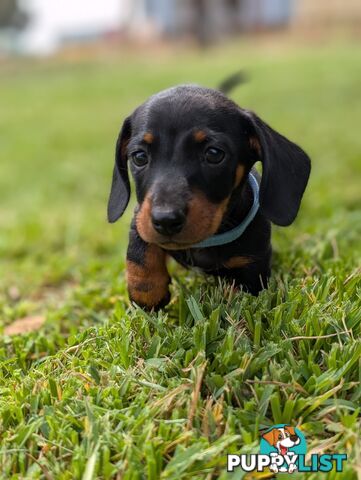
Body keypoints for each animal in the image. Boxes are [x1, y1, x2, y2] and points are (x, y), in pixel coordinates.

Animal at [106, 84, 310, 310]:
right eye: (139, 156)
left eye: (214, 154)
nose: (166, 221)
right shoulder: (140, 216)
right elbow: (140, 252)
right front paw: (147, 293)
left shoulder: (251, 266)